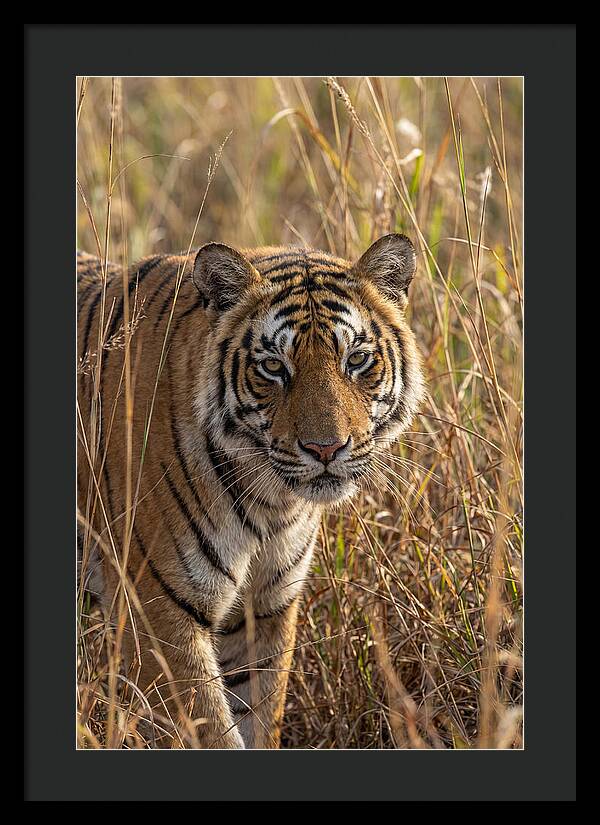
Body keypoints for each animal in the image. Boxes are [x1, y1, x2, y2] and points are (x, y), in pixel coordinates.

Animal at [77, 234, 425, 749]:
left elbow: (259, 714)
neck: (271, 503)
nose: (326, 448)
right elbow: (210, 730)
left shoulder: (265, 606)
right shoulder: (158, 612)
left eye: (357, 360)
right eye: (274, 367)